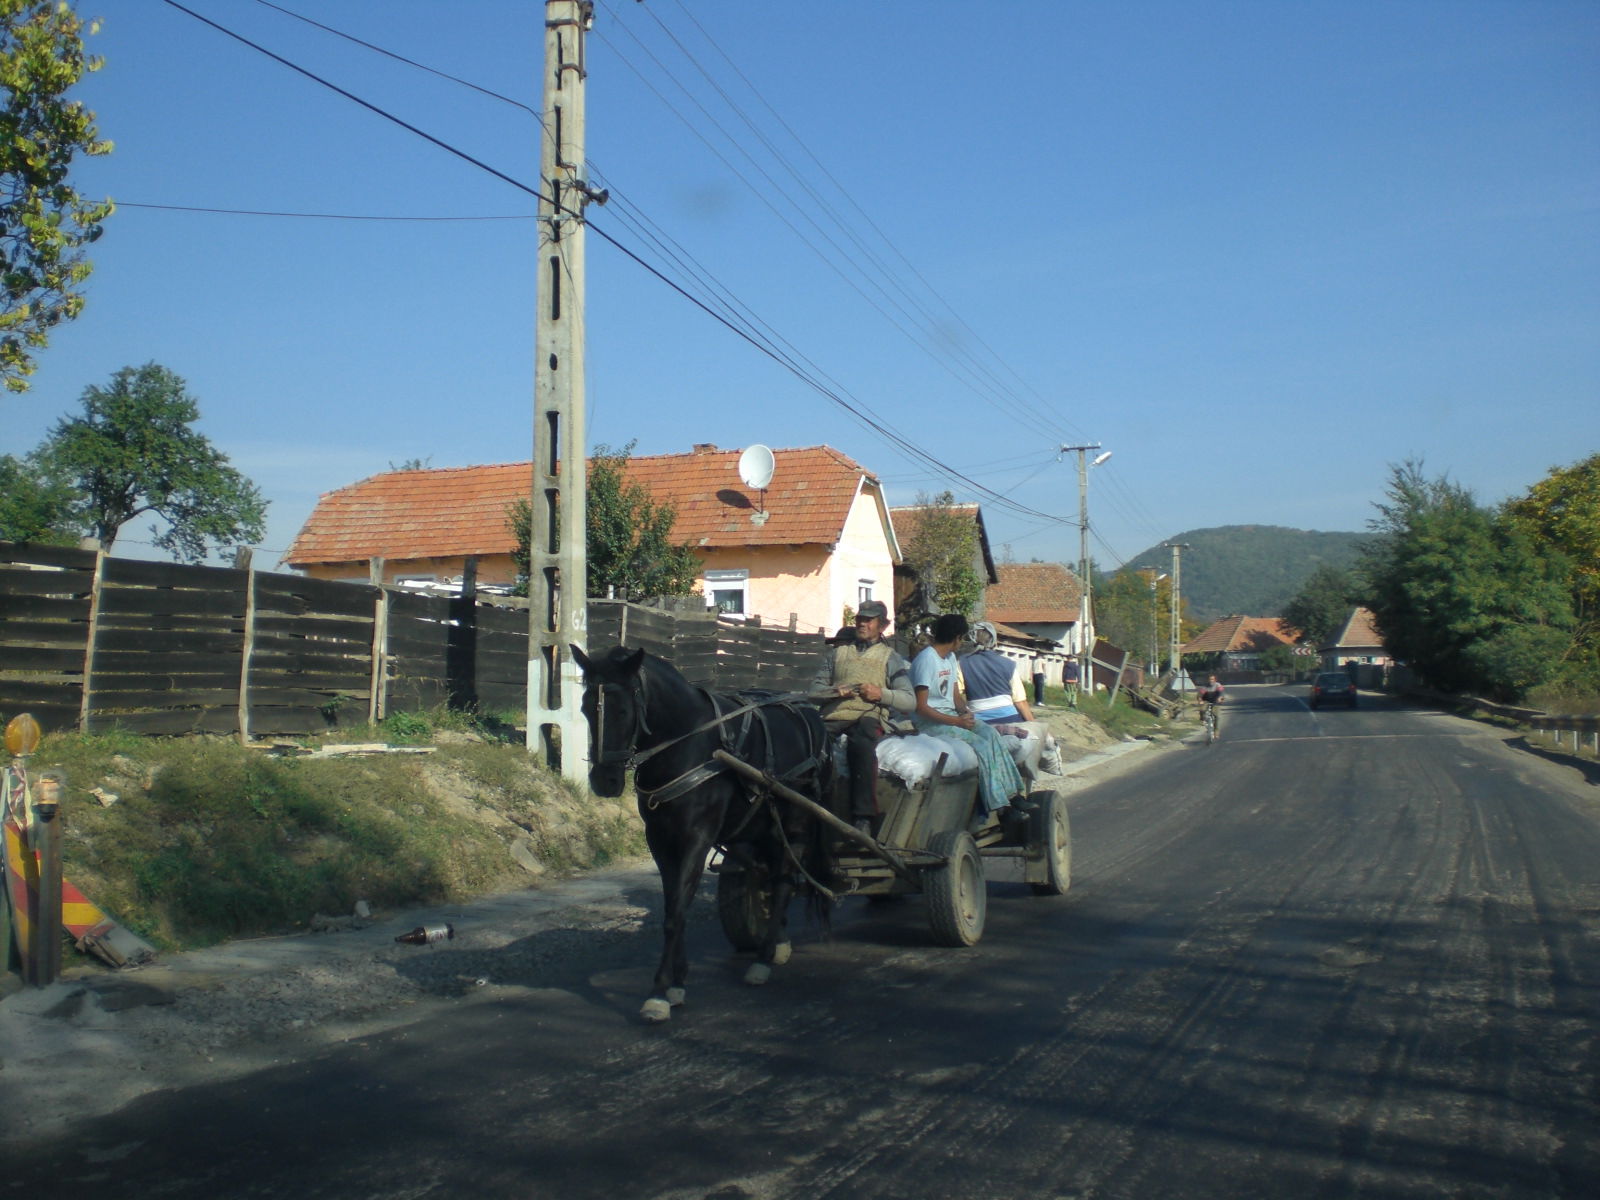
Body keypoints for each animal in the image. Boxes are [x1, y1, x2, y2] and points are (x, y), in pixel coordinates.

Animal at [569, 649, 832, 1024]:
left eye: (622, 711)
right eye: (586, 708)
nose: (604, 781)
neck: (687, 742)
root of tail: (812, 716)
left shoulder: (696, 838)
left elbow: (675, 914)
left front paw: (659, 992)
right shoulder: (660, 841)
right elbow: (672, 907)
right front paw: (677, 983)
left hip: (796, 822)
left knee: (784, 882)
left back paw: (762, 960)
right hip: (765, 827)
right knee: (774, 875)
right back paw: (777, 941)